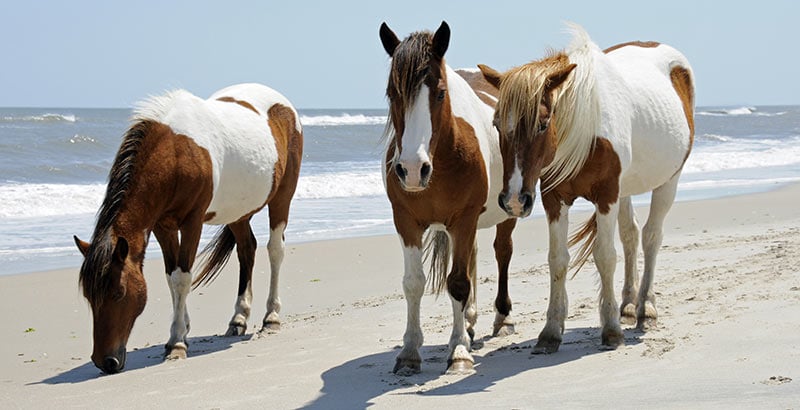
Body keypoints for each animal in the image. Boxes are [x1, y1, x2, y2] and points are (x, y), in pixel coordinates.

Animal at [73, 83, 303, 373]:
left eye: (119, 293)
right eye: (89, 296)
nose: (105, 361)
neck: (175, 153)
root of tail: (283, 104)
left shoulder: (192, 222)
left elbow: (183, 277)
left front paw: (177, 344)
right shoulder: (163, 226)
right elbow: (172, 276)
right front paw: (180, 331)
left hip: (282, 196)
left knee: (275, 250)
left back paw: (271, 317)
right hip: (237, 212)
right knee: (246, 250)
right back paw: (238, 319)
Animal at [379, 21, 518, 374]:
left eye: (441, 93)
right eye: (392, 93)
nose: (412, 170)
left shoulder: (464, 219)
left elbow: (457, 283)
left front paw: (458, 351)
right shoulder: (406, 221)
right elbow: (414, 282)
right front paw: (409, 352)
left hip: (506, 213)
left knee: (502, 252)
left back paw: (502, 318)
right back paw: (468, 321)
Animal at [478, 23, 694, 353]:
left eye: (543, 124)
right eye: (497, 124)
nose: (514, 200)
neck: (584, 129)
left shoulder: (606, 196)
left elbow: (604, 255)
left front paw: (611, 330)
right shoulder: (554, 199)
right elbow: (558, 259)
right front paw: (551, 331)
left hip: (670, 180)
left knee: (651, 237)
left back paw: (645, 309)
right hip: (626, 189)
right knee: (631, 235)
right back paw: (628, 305)